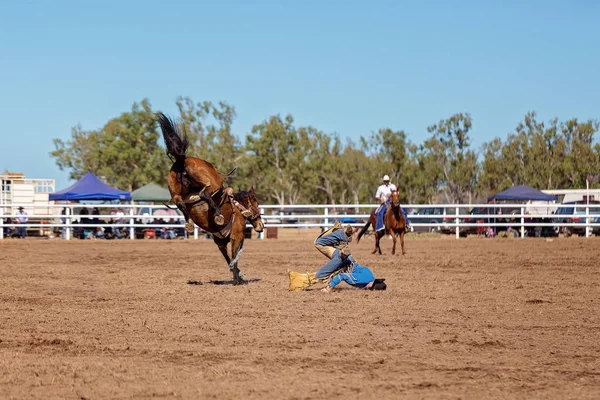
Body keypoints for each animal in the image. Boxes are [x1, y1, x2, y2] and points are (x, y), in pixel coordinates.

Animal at [158, 112, 264, 284]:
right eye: (256, 202)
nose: (261, 225)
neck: (238, 209)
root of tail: (182, 160)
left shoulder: (220, 242)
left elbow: (229, 260)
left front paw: (238, 275)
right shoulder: (236, 237)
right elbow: (234, 258)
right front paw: (237, 279)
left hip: (175, 189)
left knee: (179, 200)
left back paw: (189, 223)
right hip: (213, 183)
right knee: (204, 193)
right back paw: (217, 215)